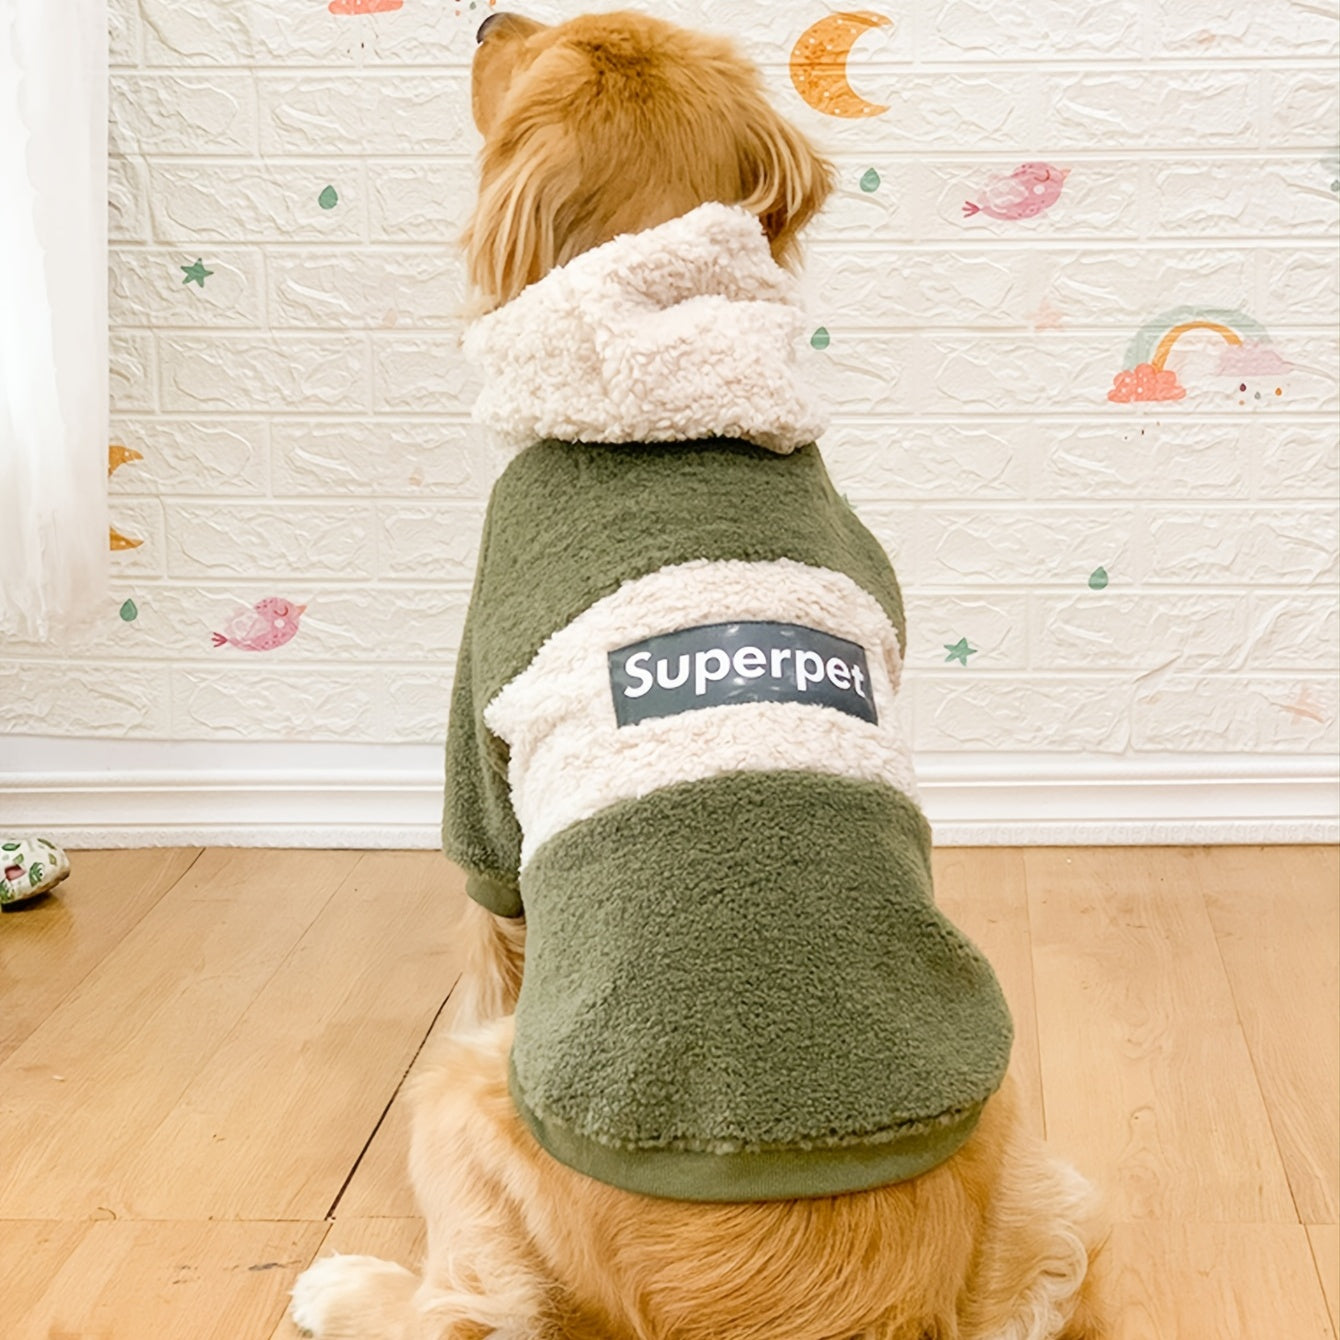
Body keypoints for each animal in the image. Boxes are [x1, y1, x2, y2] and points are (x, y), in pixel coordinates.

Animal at [293, 13, 1109, 1340]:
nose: (483, 18)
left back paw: (346, 1280)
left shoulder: (481, 759)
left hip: (460, 1092)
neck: (672, 347)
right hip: (1031, 1163)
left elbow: (488, 917)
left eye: (535, 51)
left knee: (473, 1311)